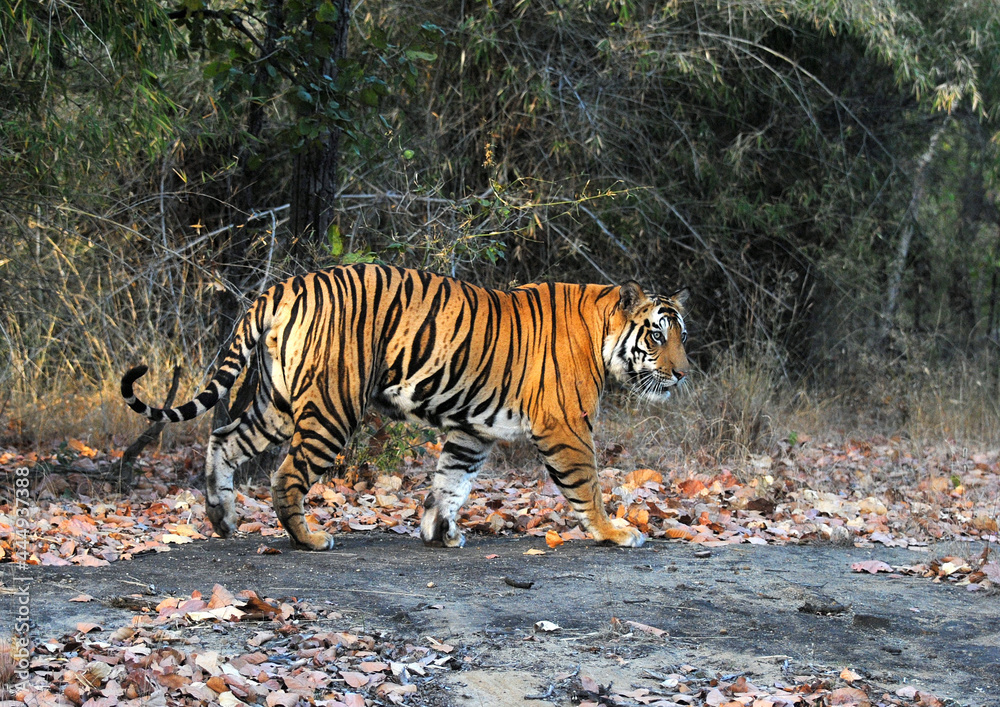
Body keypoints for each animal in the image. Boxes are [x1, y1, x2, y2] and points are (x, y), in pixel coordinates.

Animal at [121, 264, 689, 550]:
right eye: (658, 335)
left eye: (681, 334)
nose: (683, 372)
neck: (602, 335)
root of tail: (283, 287)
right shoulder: (567, 429)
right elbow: (588, 486)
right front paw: (615, 532)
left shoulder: (472, 431)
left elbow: (451, 481)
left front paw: (440, 532)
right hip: (331, 406)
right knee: (286, 475)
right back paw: (310, 538)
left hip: (277, 401)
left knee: (224, 439)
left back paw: (222, 518)